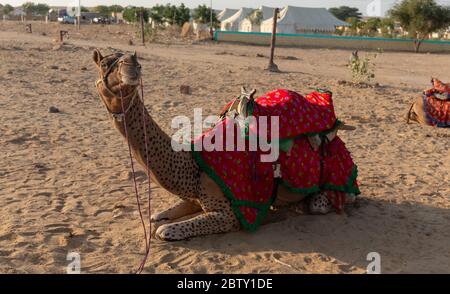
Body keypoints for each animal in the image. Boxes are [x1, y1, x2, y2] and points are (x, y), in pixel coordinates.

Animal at [94, 49, 358, 240]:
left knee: (322, 203)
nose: (132, 64)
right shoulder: (195, 197)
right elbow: (158, 216)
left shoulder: (230, 213)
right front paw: (161, 215)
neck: (193, 163)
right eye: (105, 63)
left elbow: (165, 230)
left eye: (133, 60)